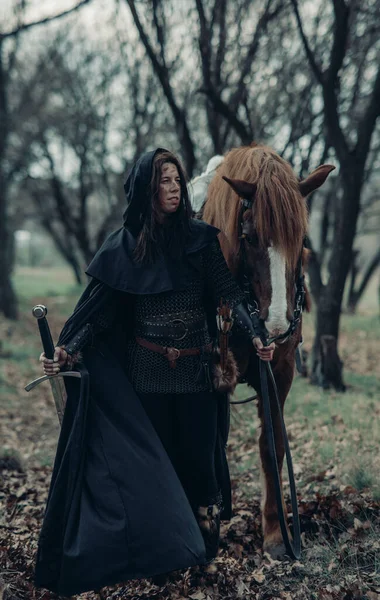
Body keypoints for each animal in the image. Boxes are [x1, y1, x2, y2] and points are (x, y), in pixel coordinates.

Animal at [200, 144, 334, 556]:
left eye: (302, 237)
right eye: (248, 236)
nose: (276, 324)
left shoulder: (281, 370)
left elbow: (271, 444)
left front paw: (276, 532)